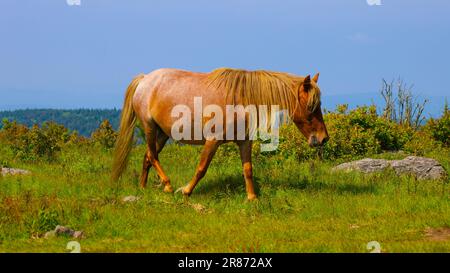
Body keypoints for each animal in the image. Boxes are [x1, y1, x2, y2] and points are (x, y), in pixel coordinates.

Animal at [110, 67, 328, 200]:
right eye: (311, 106)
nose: (323, 138)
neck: (240, 99)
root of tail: (145, 79)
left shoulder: (244, 141)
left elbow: (248, 169)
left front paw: (252, 198)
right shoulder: (212, 141)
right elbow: (201, 168)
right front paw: (186, 191)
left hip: (163, 133)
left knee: (147, 157)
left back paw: (143, 187)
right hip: (149, 128)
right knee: (153, 156)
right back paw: (168, 185)